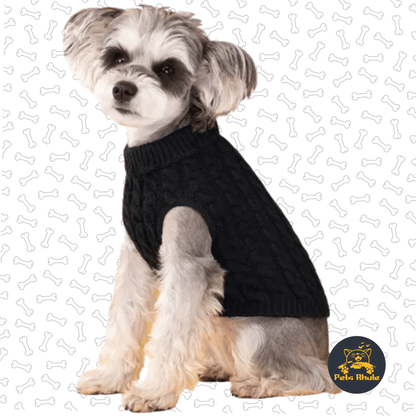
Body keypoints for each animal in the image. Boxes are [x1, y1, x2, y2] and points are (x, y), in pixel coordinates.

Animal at [63, 5, 341, 412]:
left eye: (168, 69)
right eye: (117, 57)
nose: (123, 88)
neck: (163, 148)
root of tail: (324, 349)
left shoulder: (190, 261)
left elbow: (171, 333)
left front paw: (154, 393)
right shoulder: (138, 260)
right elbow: (125, 318)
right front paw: (111, 377)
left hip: (255, 332)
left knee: (313, 376)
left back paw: (259, 384)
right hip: (218, 319)